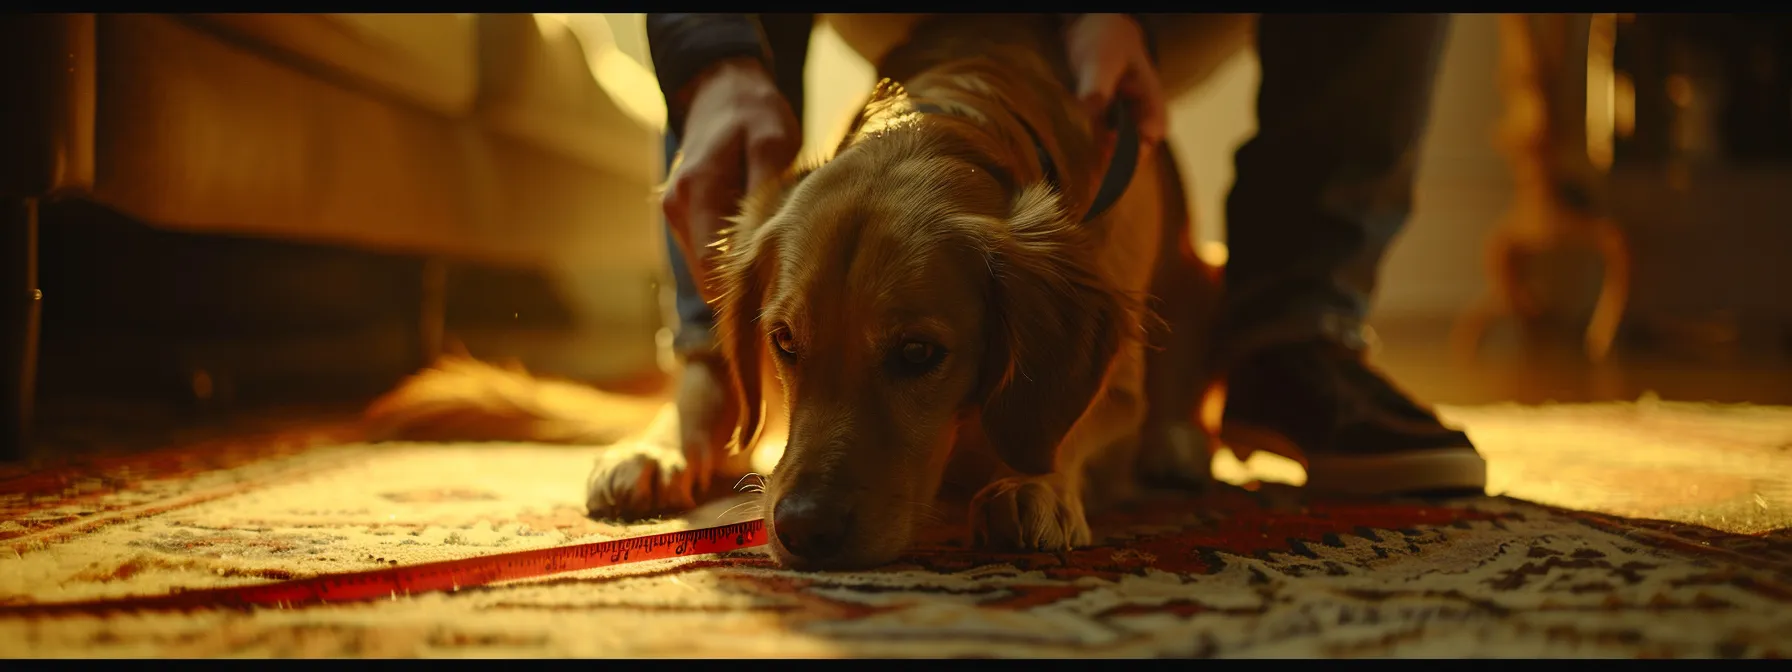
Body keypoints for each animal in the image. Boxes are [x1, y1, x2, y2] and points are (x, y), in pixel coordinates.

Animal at [363, 14, 1218, 573]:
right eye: (783, 342)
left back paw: (1179, 444)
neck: (960, 113)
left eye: (919, 352)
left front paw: (1034, 484)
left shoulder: (1115, 380)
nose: (802, 529)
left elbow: (1072, 426)